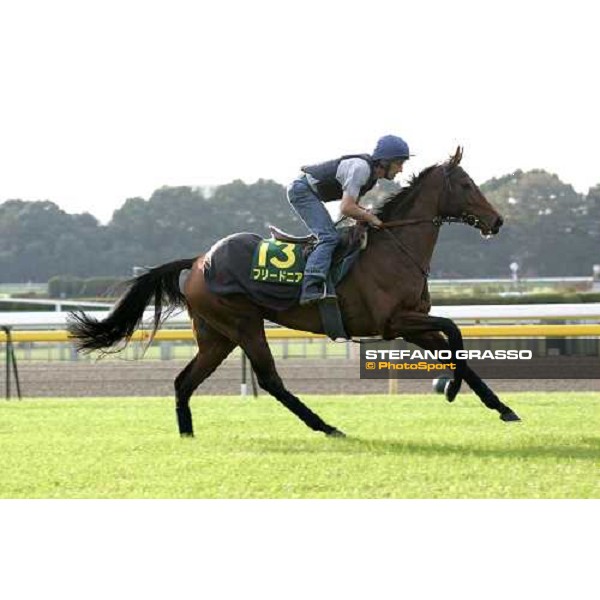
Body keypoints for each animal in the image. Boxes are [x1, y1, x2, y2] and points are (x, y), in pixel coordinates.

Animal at [68, 145, 520, 436]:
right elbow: (455, 332)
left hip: (216, 334)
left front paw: (502, 408)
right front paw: (452, 390)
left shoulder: (413, 324)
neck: (395, 246)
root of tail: (197, 261)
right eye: (466, 184)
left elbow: (455, 347)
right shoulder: (392, 322)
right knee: (270, 380)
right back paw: (326, 426)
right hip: (243, 323)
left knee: (184, 381)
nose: (497, 221)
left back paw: (187, 435)